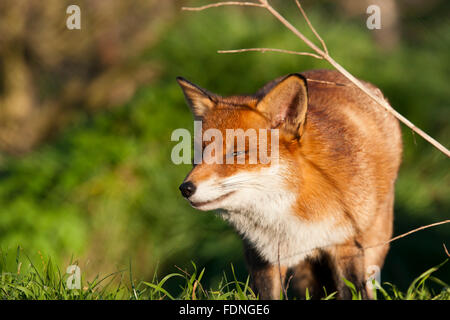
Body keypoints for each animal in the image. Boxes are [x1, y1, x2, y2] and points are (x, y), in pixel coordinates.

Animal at [177, 69, 404, 298]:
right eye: (200, 152)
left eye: (237, 153)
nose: (186, 189)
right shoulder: (262, 256)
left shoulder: (345, 244)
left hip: (374, 246)